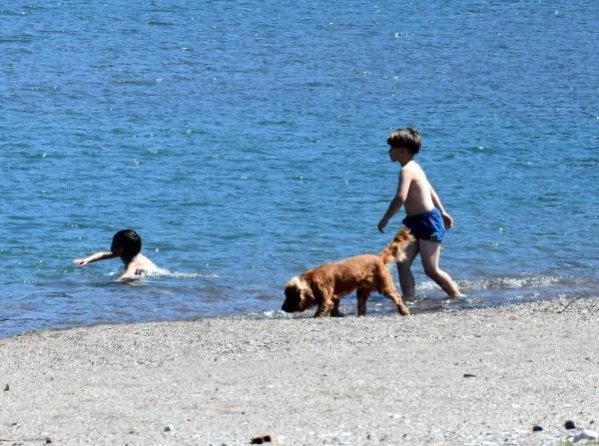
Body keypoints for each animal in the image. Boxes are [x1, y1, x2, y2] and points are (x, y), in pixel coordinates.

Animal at [282, 226, 414, 318]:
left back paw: (404, 311)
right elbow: (335, 306)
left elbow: (321, 310)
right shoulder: (334, 296)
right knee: (361, 305)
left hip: (385, 286)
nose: (282, 308)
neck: (310, 280)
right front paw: (337, 314)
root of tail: (379, 257)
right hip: (362, 291)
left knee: (397, 297)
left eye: (290, 296)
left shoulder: (326, 299)